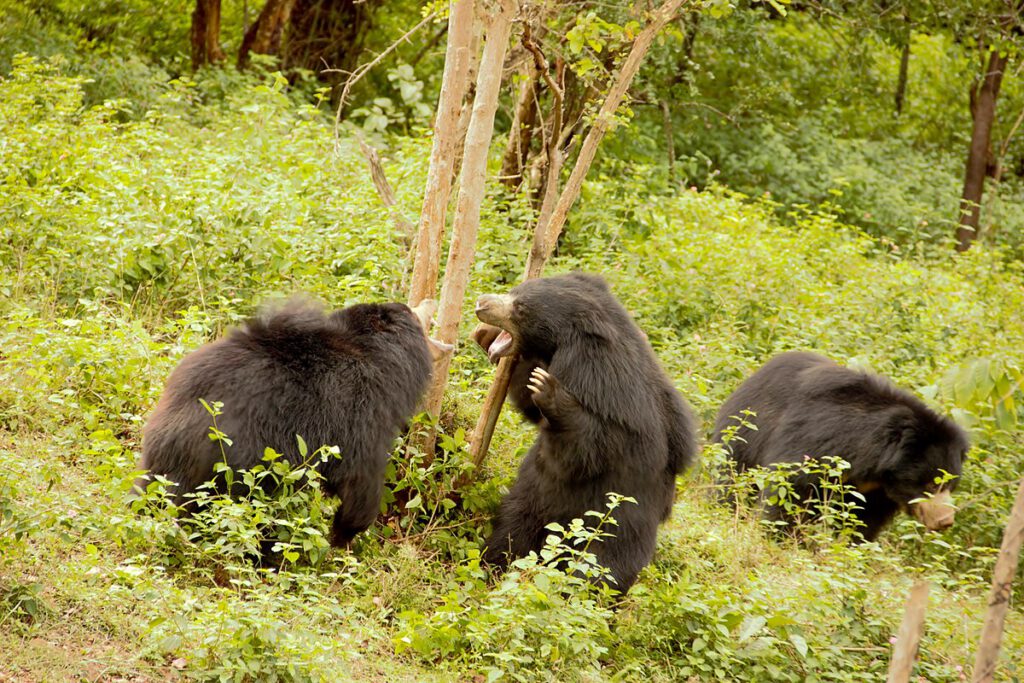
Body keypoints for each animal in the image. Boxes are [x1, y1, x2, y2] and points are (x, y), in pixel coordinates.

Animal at [134, 297, 449, 547]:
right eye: (412, 310)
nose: (431, 298)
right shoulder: (362, 413)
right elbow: (361, 479)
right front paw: (342, 535)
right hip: (242, 464)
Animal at [472, 272, 698, 593]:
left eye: (520, 308)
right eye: (515, 291)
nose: (481, 304)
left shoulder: (608, 399)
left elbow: (583, 451)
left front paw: (548, 388)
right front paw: (489, 338)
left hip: (617, 522)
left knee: (601, 568)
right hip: (532, 499)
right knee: (513, 529)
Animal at [712, 351, 969, 541]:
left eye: (952, 486)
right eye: (930, 484)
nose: (945, 520)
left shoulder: (875, 493)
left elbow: (863, 520)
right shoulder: (816, 441)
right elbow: (790, 489)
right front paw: (778, 537)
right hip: (745, 433)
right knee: (733, 480)